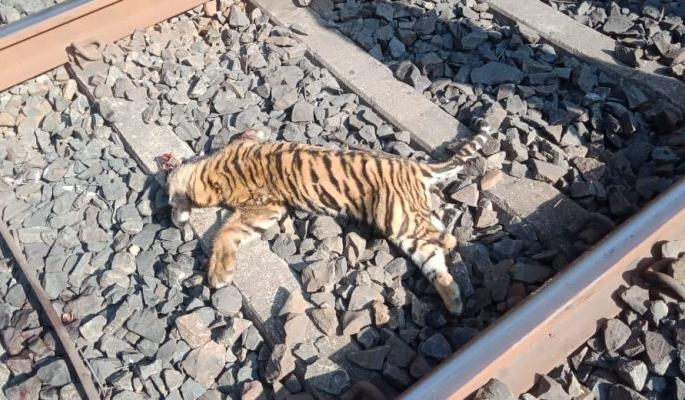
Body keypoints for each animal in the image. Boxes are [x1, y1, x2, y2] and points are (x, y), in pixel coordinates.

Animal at [166, 123, 490, 315]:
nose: (174, 223)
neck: (216, 168)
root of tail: (415, 167)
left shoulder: (264, 206)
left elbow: (225, 230)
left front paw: (218, 273)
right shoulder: (264, 206)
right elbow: (232, 228)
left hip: (396, 218)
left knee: (445, 237)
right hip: (407, 226)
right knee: (434, 252)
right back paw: (454, 300)